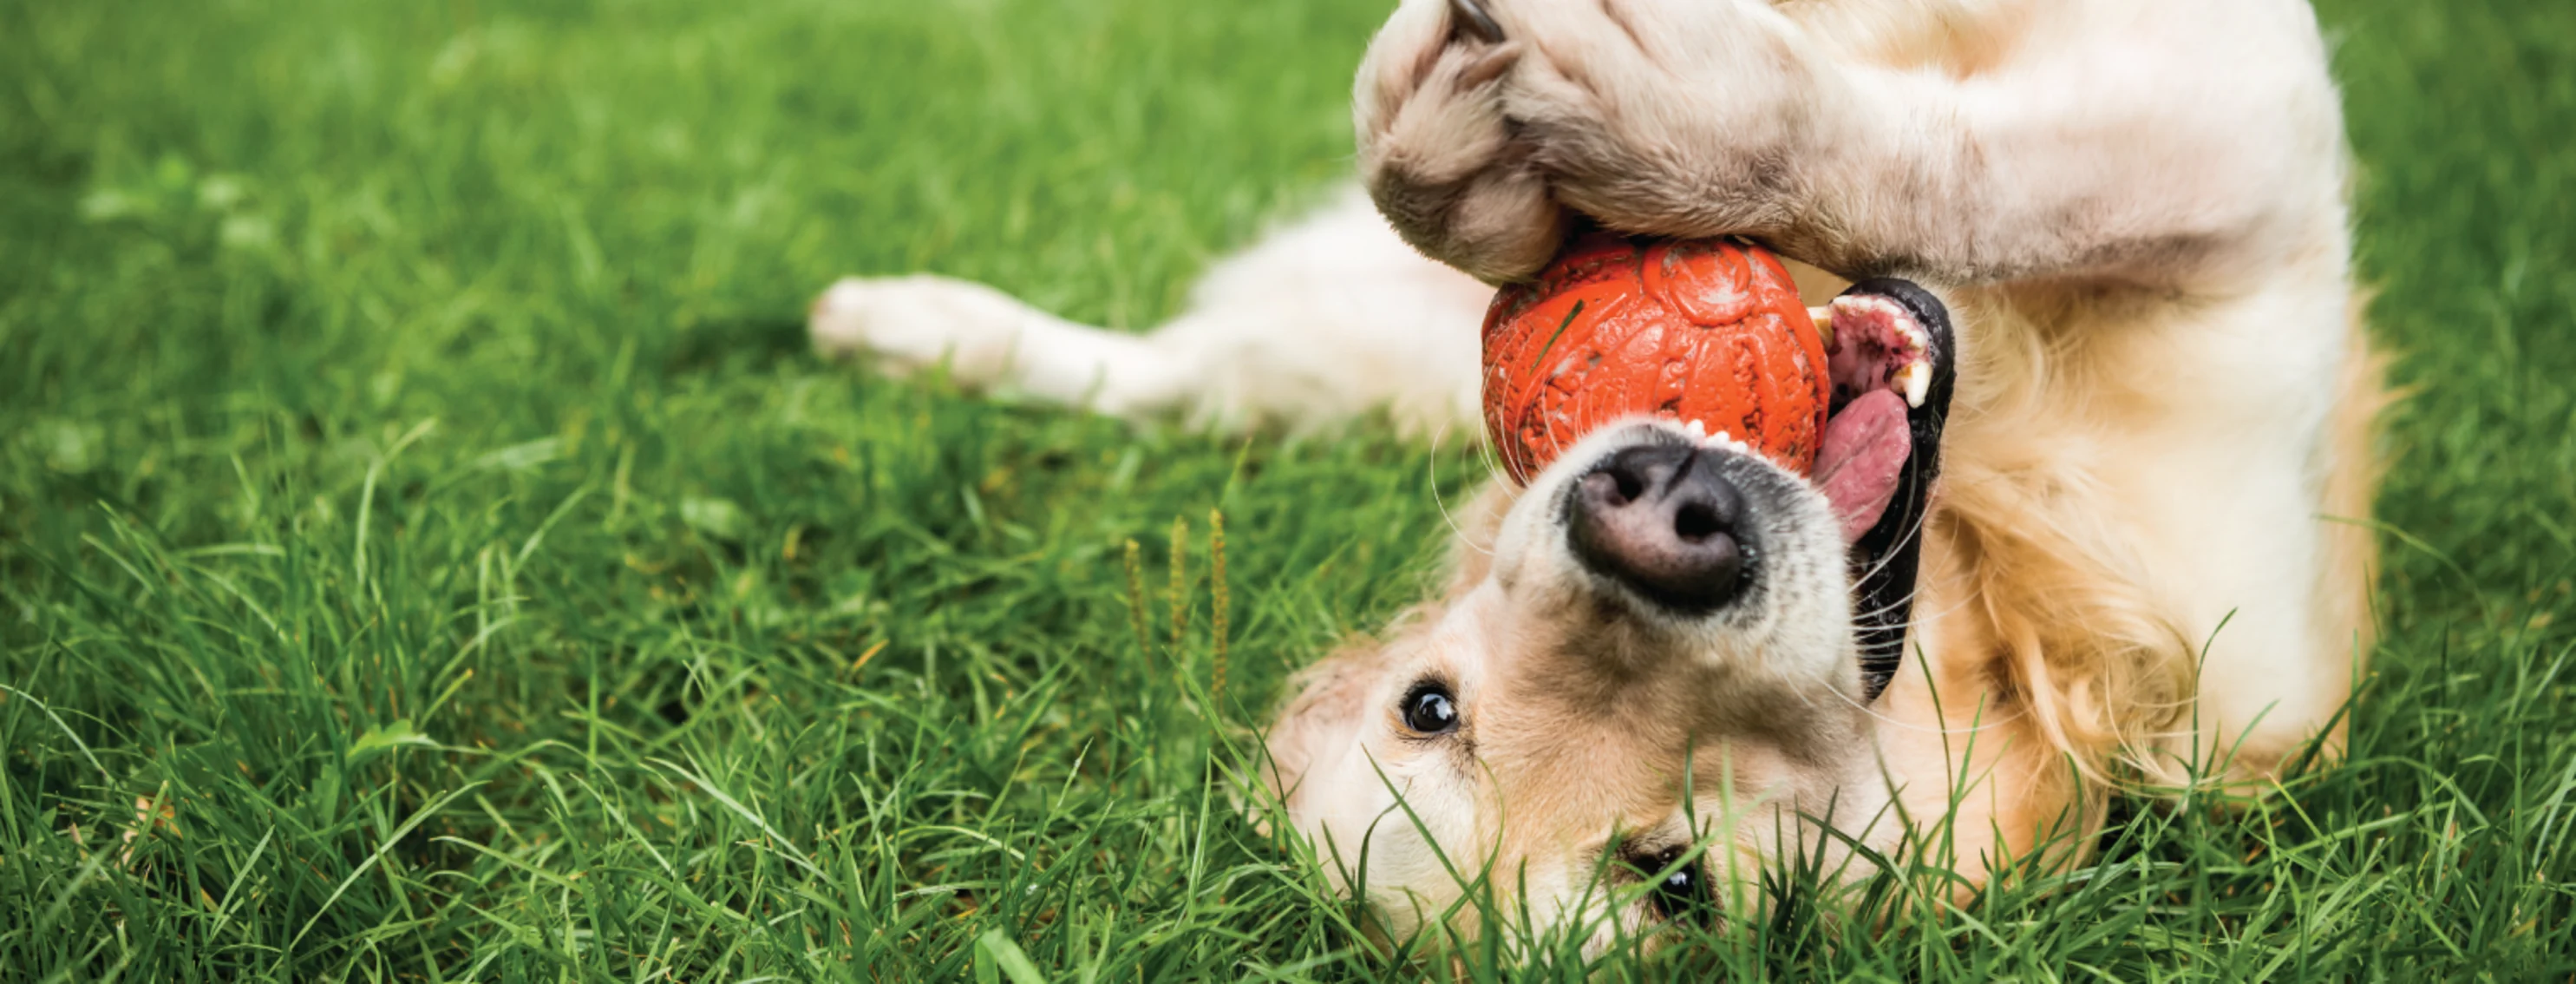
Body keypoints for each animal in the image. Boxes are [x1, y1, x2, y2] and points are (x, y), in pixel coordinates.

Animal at [814, 0, 2380, 948]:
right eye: (1433, 704)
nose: (1661, 524)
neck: (1984, 567)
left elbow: (1982, 159)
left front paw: (1628, 131)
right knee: (1184, 370)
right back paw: (919, 329)